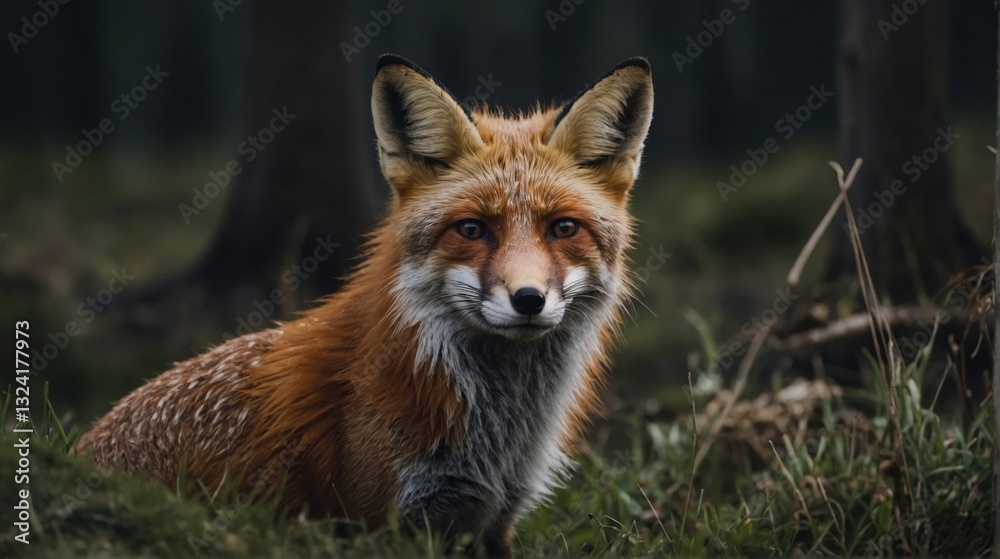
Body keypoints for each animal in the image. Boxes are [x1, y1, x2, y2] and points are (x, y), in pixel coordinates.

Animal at [76, 54, 654, 556]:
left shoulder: (492, 523)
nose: (528, 299)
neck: (496, 439)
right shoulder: (384, 522)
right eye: (471, 229)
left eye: (563, 228)